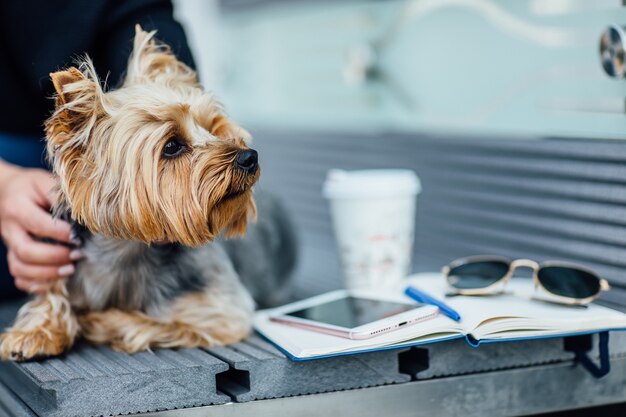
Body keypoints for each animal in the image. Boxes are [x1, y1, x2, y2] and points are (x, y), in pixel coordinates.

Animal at [0, 26, 268, 360]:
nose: (249, 157)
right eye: (172, 146)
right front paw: (36, 331)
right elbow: (53, 292)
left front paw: (99, 321)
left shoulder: (225, 313)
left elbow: (153, 322)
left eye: (213, 128)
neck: (126, 250)